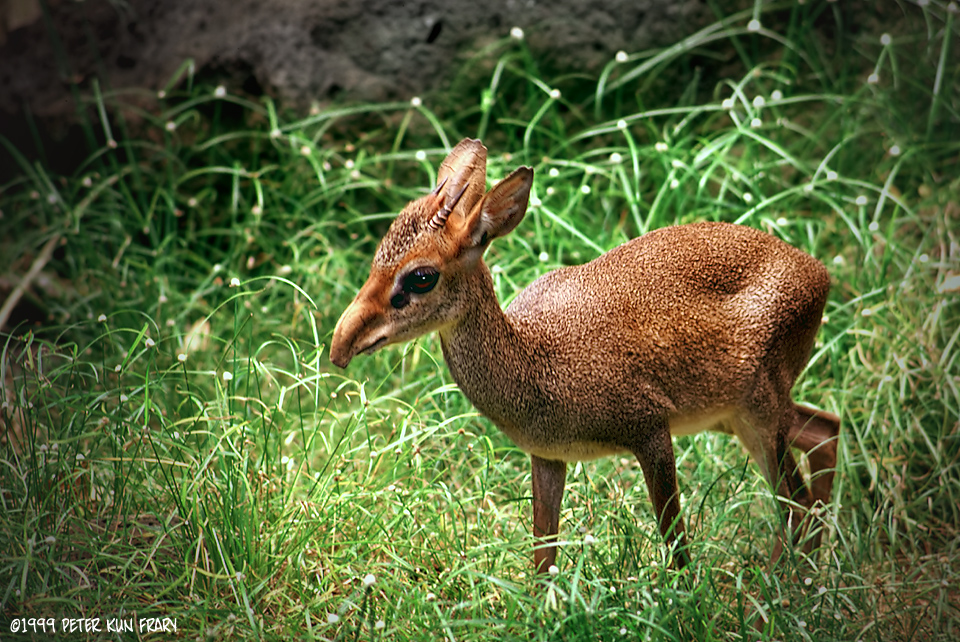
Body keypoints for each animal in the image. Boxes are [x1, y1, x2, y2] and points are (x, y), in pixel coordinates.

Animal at [332, 139, 840, 568]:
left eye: (421, 276)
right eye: (378, 255)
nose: (341, 344)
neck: (536, 362)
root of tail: (819, 273)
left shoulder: (651, 430)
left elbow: (674, 539)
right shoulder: (548, 456)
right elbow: (543, 555)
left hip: (760, 409)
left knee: (795, 501)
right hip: (737, 415)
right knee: (825, 434)